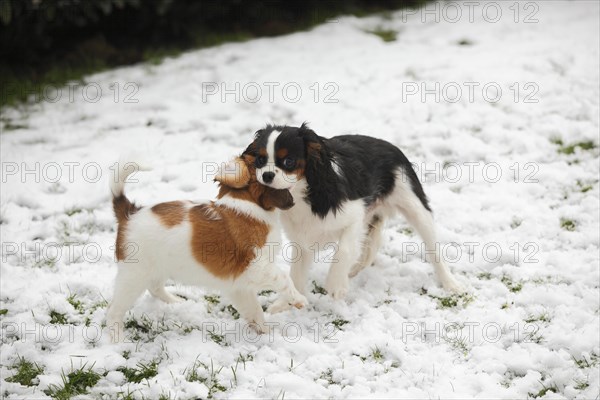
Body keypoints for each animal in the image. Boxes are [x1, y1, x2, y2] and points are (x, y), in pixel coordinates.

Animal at [105, 155, 308, 340]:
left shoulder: (239, 285)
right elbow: (283, 278)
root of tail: (129, 213)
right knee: (114, 310)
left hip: (156, 267)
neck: (246, 204)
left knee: (154, 287)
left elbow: (254, 309)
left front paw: (264, 333)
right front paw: (298, 300)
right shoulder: (256, 267)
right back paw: (118, 340)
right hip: (133, 276)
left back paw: (176, 302)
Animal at [244, 123, 464, 302]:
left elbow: (344, 249)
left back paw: (451, 284)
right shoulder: (302, 238)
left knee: (433, 248)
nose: (267, 175)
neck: (302, 194)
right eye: (260, 160)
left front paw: (335, 285)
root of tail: (390, 146)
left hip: (414, 206)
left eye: (288, 161)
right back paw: (355, 268)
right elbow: (296, 273)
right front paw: (285, 305)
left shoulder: (355, 216)